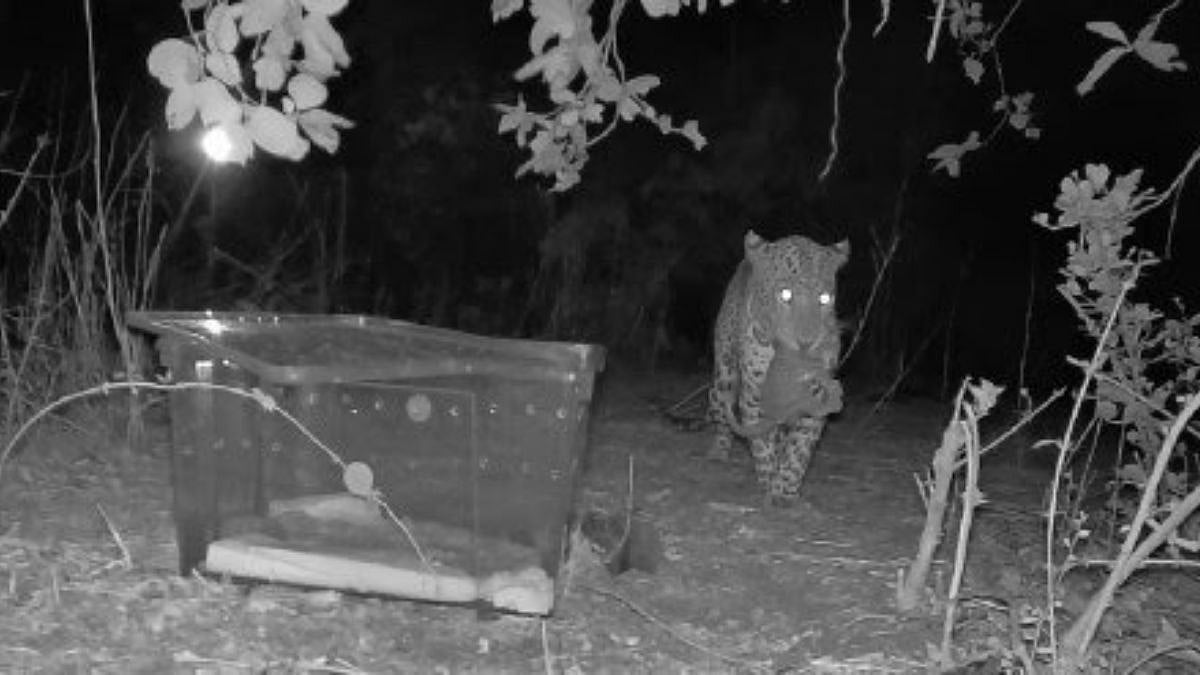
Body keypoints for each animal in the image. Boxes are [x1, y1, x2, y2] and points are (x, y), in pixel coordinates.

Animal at [708, 229, 849, 506]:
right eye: (785, 294)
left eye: (824, 298)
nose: (806, 342)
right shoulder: (755, 395)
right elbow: (763, 444)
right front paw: (769, 484)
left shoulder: (816, 397)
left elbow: (799, 450)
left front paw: (787, 491)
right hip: (725, 373)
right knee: (720, 407)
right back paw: (719, 451)